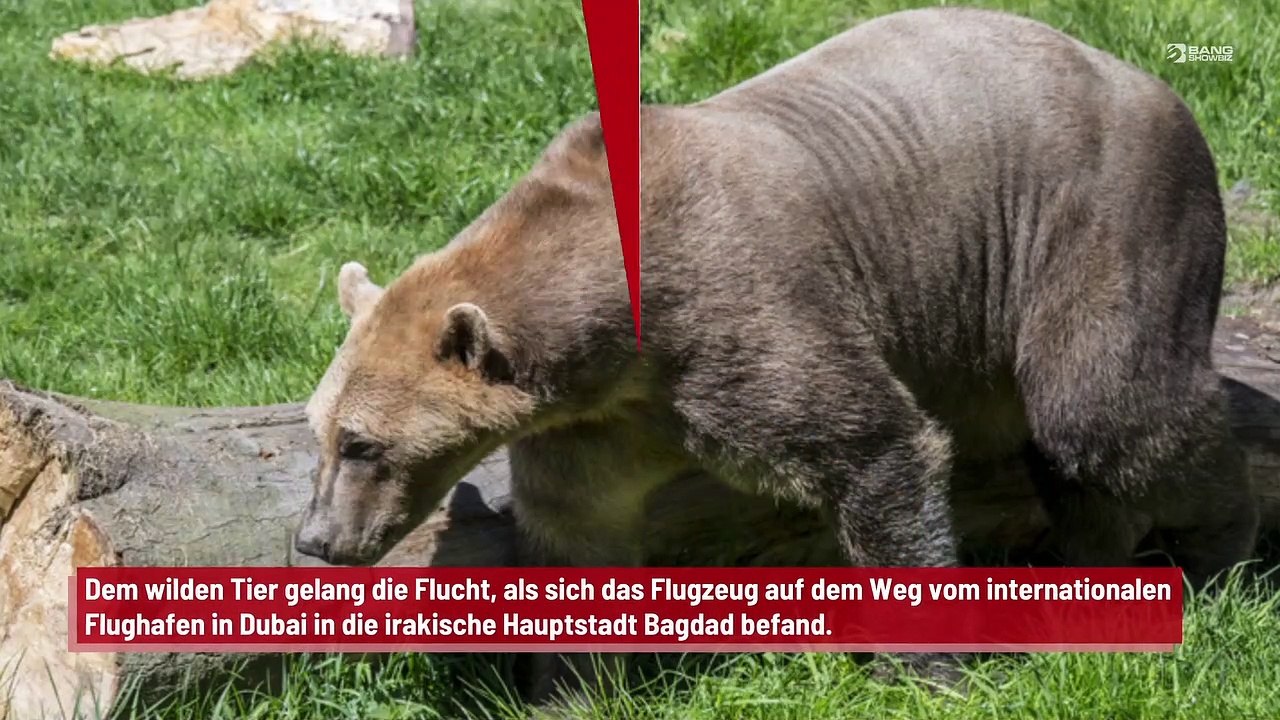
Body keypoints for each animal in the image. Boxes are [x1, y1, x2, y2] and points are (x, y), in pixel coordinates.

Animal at [295, 4, 1258, 703]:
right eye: (321, 433)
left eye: (364, 444)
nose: (316, 539)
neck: (616, 337)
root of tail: (1150, 81)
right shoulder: (595, 422)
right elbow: (578, 535)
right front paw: (568, 687)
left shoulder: (741, 321)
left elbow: (876, 448)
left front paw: (930, 671)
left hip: (1095, 219)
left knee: (1109, 413)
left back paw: (1211, 556)